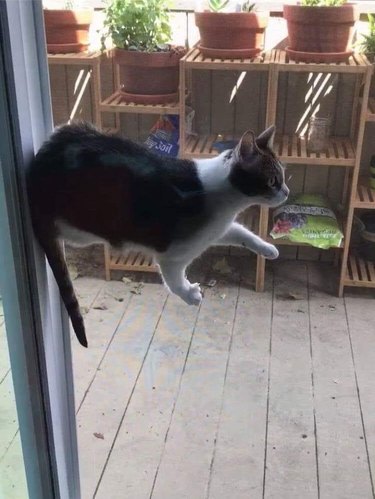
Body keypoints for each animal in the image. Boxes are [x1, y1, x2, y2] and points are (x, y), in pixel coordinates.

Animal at [27, 122, 290, 348]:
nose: (286, 192)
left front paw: (268, 249)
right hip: (82, 226)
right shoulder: (173, 255)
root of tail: (37, 173)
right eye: (273, 181)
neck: (225, 197)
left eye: (283, 177)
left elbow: (241, 233)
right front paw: (190, 294)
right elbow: (174, 281)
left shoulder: (218, 229)